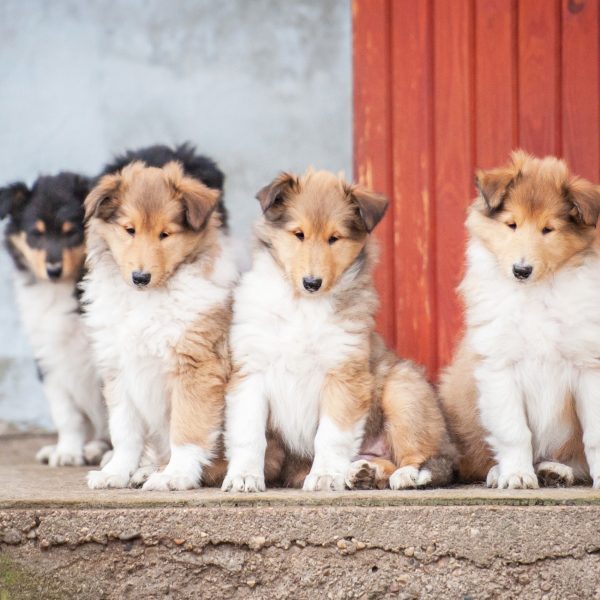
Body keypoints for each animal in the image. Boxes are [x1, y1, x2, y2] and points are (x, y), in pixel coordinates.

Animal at [0, 172, 108, 464]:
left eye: (71, 232)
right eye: (36, 234)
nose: (53, 270)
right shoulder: (49, 357)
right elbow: (67, 416)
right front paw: (67, 452)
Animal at [82, 148, 237, 490]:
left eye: (165, 234)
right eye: (129, 230)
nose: (140, 277)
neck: (147, 298)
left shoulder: (196, 368)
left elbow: (187, 429)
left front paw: (176, 475)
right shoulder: (119, 369)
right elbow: (125, 432)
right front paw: (116, 472)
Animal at [221, 169, 454, 492]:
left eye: (334, 238)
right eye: (298, 234)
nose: (312, 283)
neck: (303, 306)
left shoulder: (343, 374)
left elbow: (331, 435)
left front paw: (325, 476)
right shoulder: (250, 371)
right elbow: (249, 433)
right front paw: (244, 476)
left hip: (403, 390)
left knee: (430, 459)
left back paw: (406, 475)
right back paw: (363, 472)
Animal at [438, 149, 600, 488]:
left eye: (548, 229)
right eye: (511, 224)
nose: (521, 270)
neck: (534, 294)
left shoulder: (588, 364)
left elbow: (595, 435)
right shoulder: (499, 366)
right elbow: (514, 431)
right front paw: (517, 475)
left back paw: (555, 470)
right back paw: (499, 473)